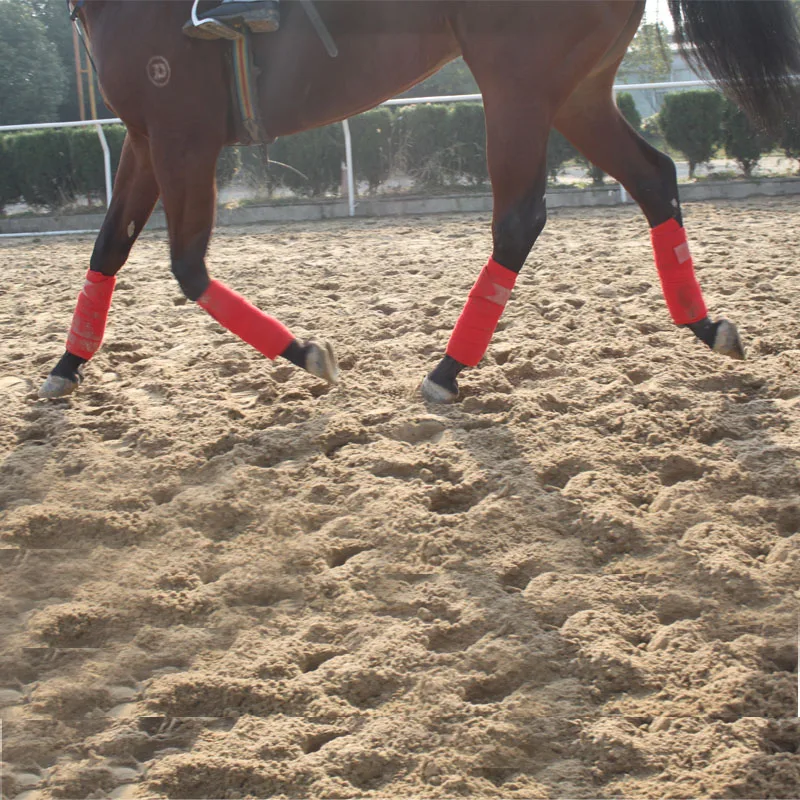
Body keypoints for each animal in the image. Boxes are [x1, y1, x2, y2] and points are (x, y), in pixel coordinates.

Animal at [40, 0, 800, 402]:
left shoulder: (182, 135)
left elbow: (187, 267)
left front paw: (306, 352)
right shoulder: (145, 136)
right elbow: (109, 246)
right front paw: (65, 366)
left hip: (517, 84)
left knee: (520, 219)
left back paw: (447, 369)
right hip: (574, 90)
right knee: (654, 178)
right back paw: (705, 324)